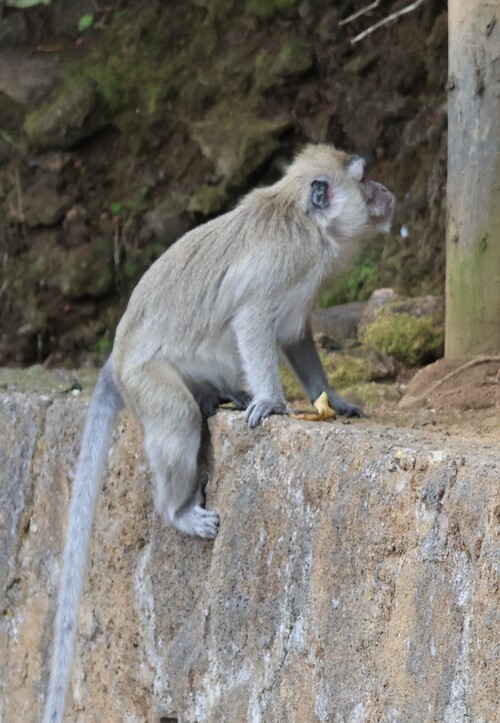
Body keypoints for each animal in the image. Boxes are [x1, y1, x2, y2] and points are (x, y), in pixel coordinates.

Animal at [43, 144, 394, 720]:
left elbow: (294, 336)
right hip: (147, 381)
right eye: (364, 180)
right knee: (178, 422)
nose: (385, 192)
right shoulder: (287, 261)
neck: (305, 221)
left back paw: (227, 395)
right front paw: (273, 403)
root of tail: (115, 357)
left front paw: (332, 400)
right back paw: (179, 510)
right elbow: (253, 320)